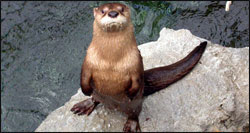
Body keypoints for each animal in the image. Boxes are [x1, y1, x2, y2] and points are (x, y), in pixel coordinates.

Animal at [71, 2, 207, 132]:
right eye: (103, 11)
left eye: (121, 9)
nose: (113, 13)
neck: (111, 61)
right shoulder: (88, 60)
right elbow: (84, 76)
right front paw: (85, 91)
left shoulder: (135, 61)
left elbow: (136, 79)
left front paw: (130, 93)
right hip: (99, 94)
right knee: (95, 99)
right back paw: (84, 105)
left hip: (135, 104)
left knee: (134, 114)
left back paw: (131, 126)